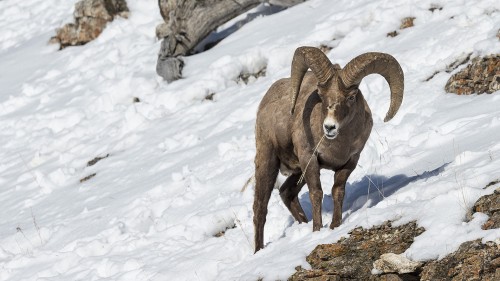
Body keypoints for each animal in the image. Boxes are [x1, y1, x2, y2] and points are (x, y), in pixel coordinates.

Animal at [254, 46, 402, 252]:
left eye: (351, 96)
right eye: (321, 95)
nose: (330, 127)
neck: (338, 145)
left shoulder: (349, 162)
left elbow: (337, 191)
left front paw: (335, 225)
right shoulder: (310, 160)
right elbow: (317, 193)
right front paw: (317, 230)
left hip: (296, 172)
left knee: (286, 193)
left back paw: (303, 223)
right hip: (268, 161)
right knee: (260, 209)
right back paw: (258, 251)